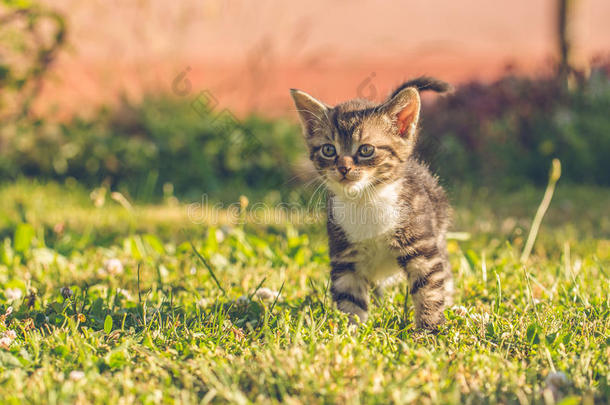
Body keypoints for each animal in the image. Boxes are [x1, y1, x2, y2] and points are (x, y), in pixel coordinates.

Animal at [292, 77, 454, 330]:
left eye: (366, 150)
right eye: (328, 149)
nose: (343, 168)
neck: (365, 200)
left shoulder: (421, 245)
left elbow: (429, 289)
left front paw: (428, 330)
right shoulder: (345, 256)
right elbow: (350, 298)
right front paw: (350, 331)